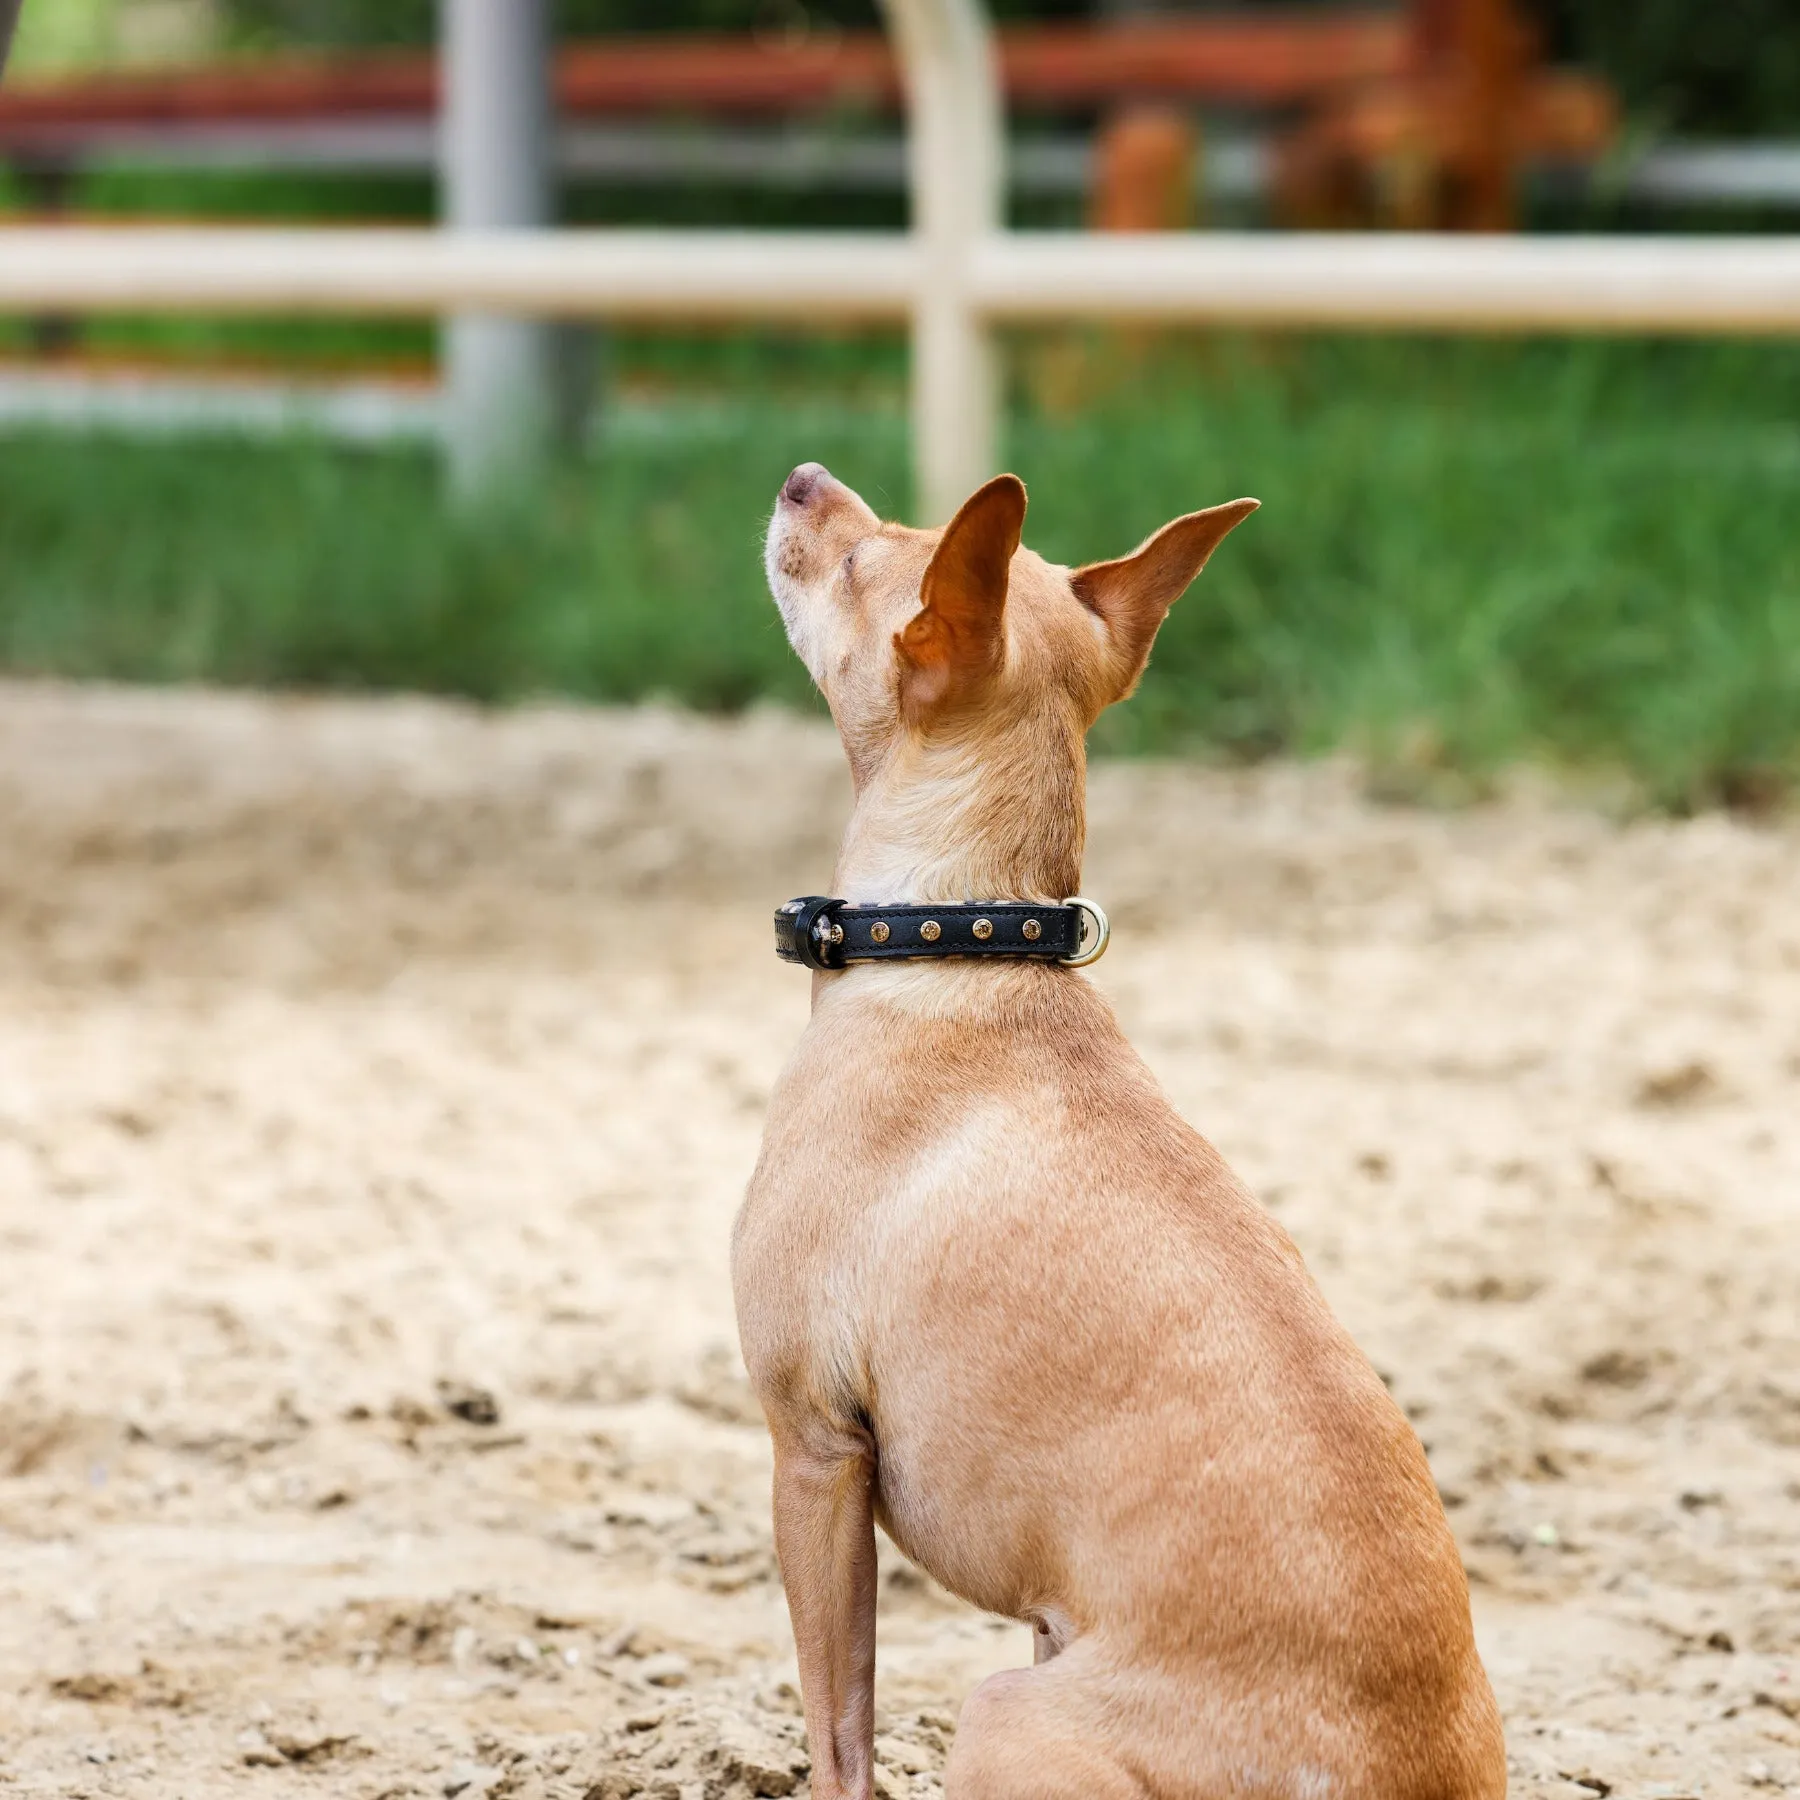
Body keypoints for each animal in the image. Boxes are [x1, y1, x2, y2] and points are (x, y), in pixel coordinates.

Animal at [730, 464, 1504, 1800]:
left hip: (1002, 1710)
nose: (804, 479)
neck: (964, 941)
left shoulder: (814, 1449)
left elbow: (841, 1728)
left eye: (862, 559)